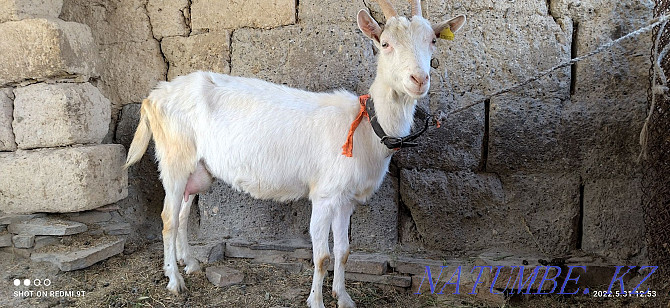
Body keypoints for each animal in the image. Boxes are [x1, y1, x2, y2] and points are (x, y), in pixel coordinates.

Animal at [122, 1, 468, 306]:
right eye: (385, 44)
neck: (367, 126)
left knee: (181, 213)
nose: (419, 79)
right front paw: (316, 301)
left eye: (433, 40)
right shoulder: (325, 194)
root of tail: (154, 96)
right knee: (168, 218)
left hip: (198, 169)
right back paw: (174, 281)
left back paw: (190, 264)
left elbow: (343, 251)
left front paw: (344, 298)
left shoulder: (346, 199)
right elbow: (322, 255)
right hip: (174, 158)